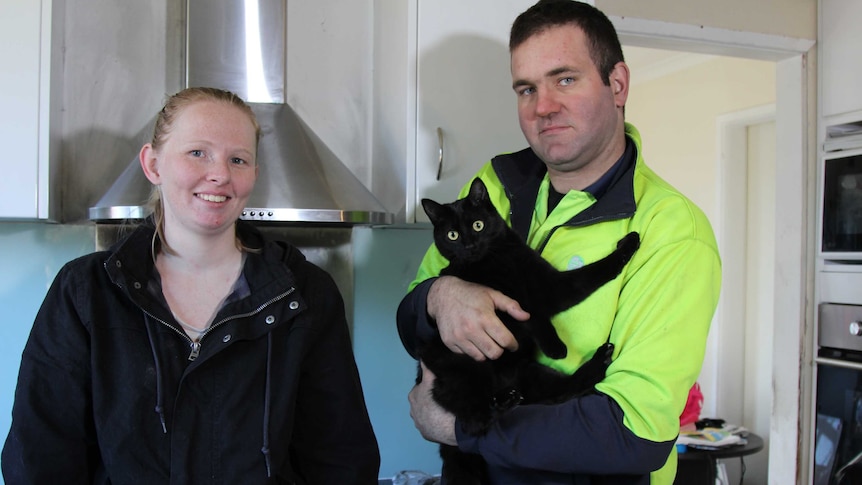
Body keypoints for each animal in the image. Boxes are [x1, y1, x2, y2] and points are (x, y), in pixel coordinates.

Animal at [418, 178, 640, 484]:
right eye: (452, 235)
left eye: (478, 225)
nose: (469, 245)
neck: (497, 259)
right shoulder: (527, 294)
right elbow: (534, 310)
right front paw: (556, 347)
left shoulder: (542, 283)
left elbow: (569, 287)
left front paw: (630, 241)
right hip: (462, 369)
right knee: (473, 420)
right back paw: (502, 402)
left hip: (533, 374)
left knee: (559, 394)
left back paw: (598, 361)